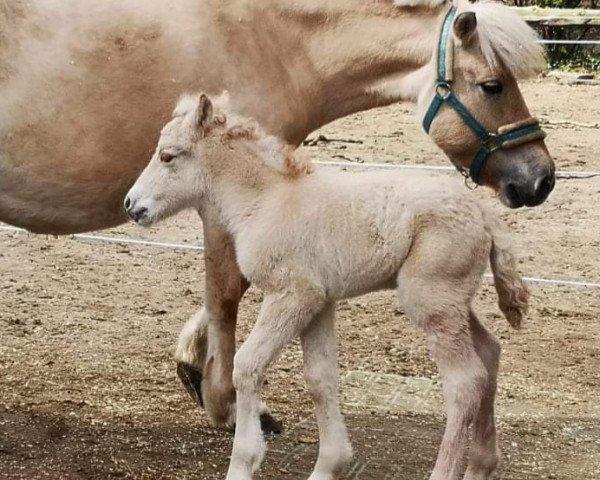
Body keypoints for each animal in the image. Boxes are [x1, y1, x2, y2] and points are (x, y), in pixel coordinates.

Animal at [0, 0, 556, 432]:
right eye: (492, 85)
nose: (541, 178)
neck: (276, 43)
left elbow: (225, 292)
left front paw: (195, 367)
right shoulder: (223, 204)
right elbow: (226, 292)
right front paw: (224, 401)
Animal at [125, 94, 524, 480]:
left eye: (168, 155)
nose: (131, 204)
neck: (266, 200)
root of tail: (484, 214)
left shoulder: (292, 296)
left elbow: (248, 365)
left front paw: (243, 463)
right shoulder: (320, 302)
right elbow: (320, 378)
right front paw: (329, 464)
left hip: (431, 301)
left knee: (465, 382)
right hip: (452, 302)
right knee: (490, 353)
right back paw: (480, 466)